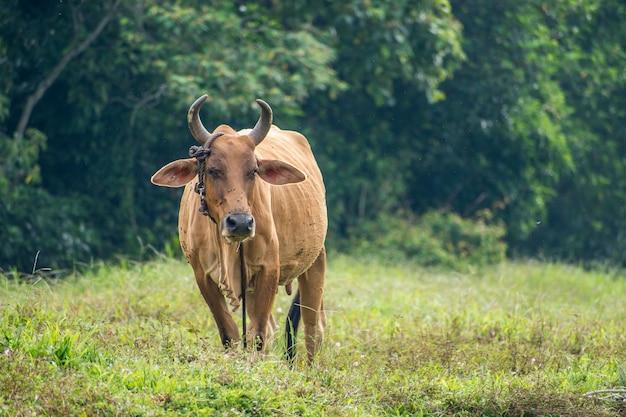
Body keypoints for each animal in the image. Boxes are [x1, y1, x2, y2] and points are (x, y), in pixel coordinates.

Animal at [151, 96, 326, 362]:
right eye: (213, 170)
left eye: (253, 170)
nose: (241, 223)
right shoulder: (202, 275)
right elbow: (229, 334)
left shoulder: (268, 269)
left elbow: (257, 335)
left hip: (316, 259)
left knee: (313, 327)